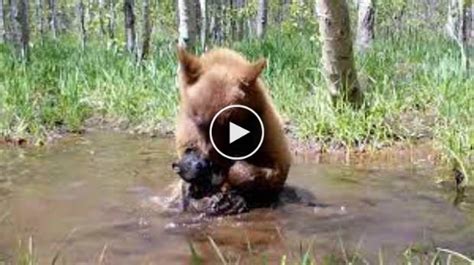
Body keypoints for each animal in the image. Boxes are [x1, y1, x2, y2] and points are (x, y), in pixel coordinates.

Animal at [174, 46, 292, 213]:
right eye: (200, 122)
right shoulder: (188, 135)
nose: (209, 157)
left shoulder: (266, 131)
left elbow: (272, 169)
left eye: (227, 123)